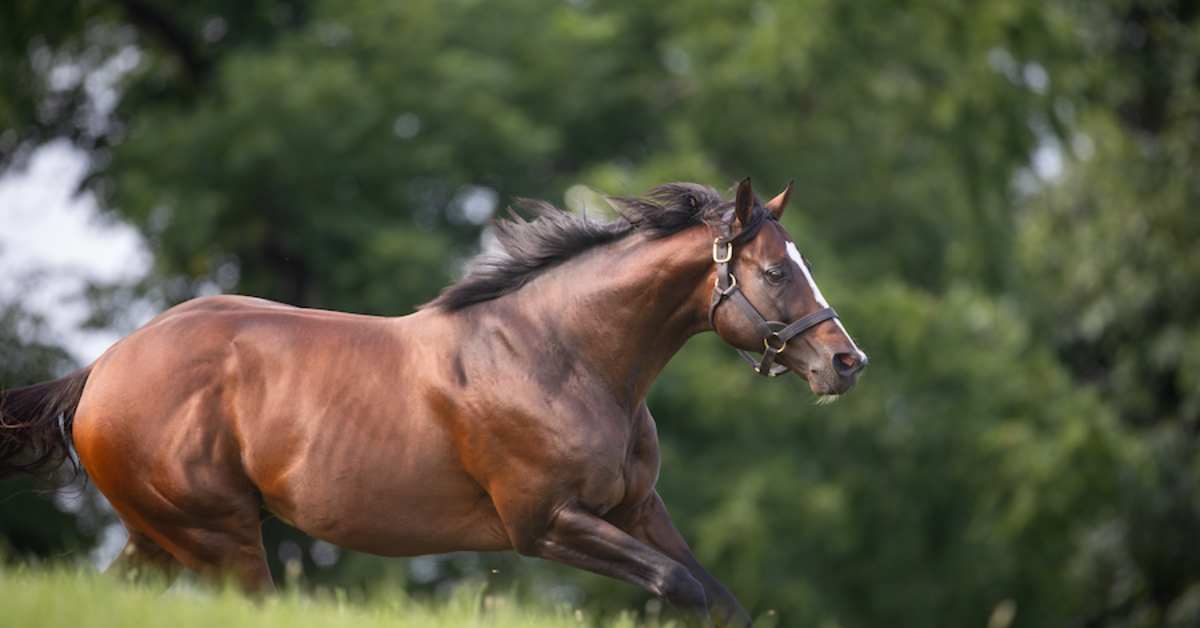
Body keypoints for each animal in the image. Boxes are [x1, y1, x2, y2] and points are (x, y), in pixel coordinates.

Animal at [0, 178, 864, 624]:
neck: (565, 358)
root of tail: (102, 368)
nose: (846, 363)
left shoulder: (636, 510)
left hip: (162, 536)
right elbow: (679, 586)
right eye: (776, 271)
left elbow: (719, 600)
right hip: (220, 538)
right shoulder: (543, 524)